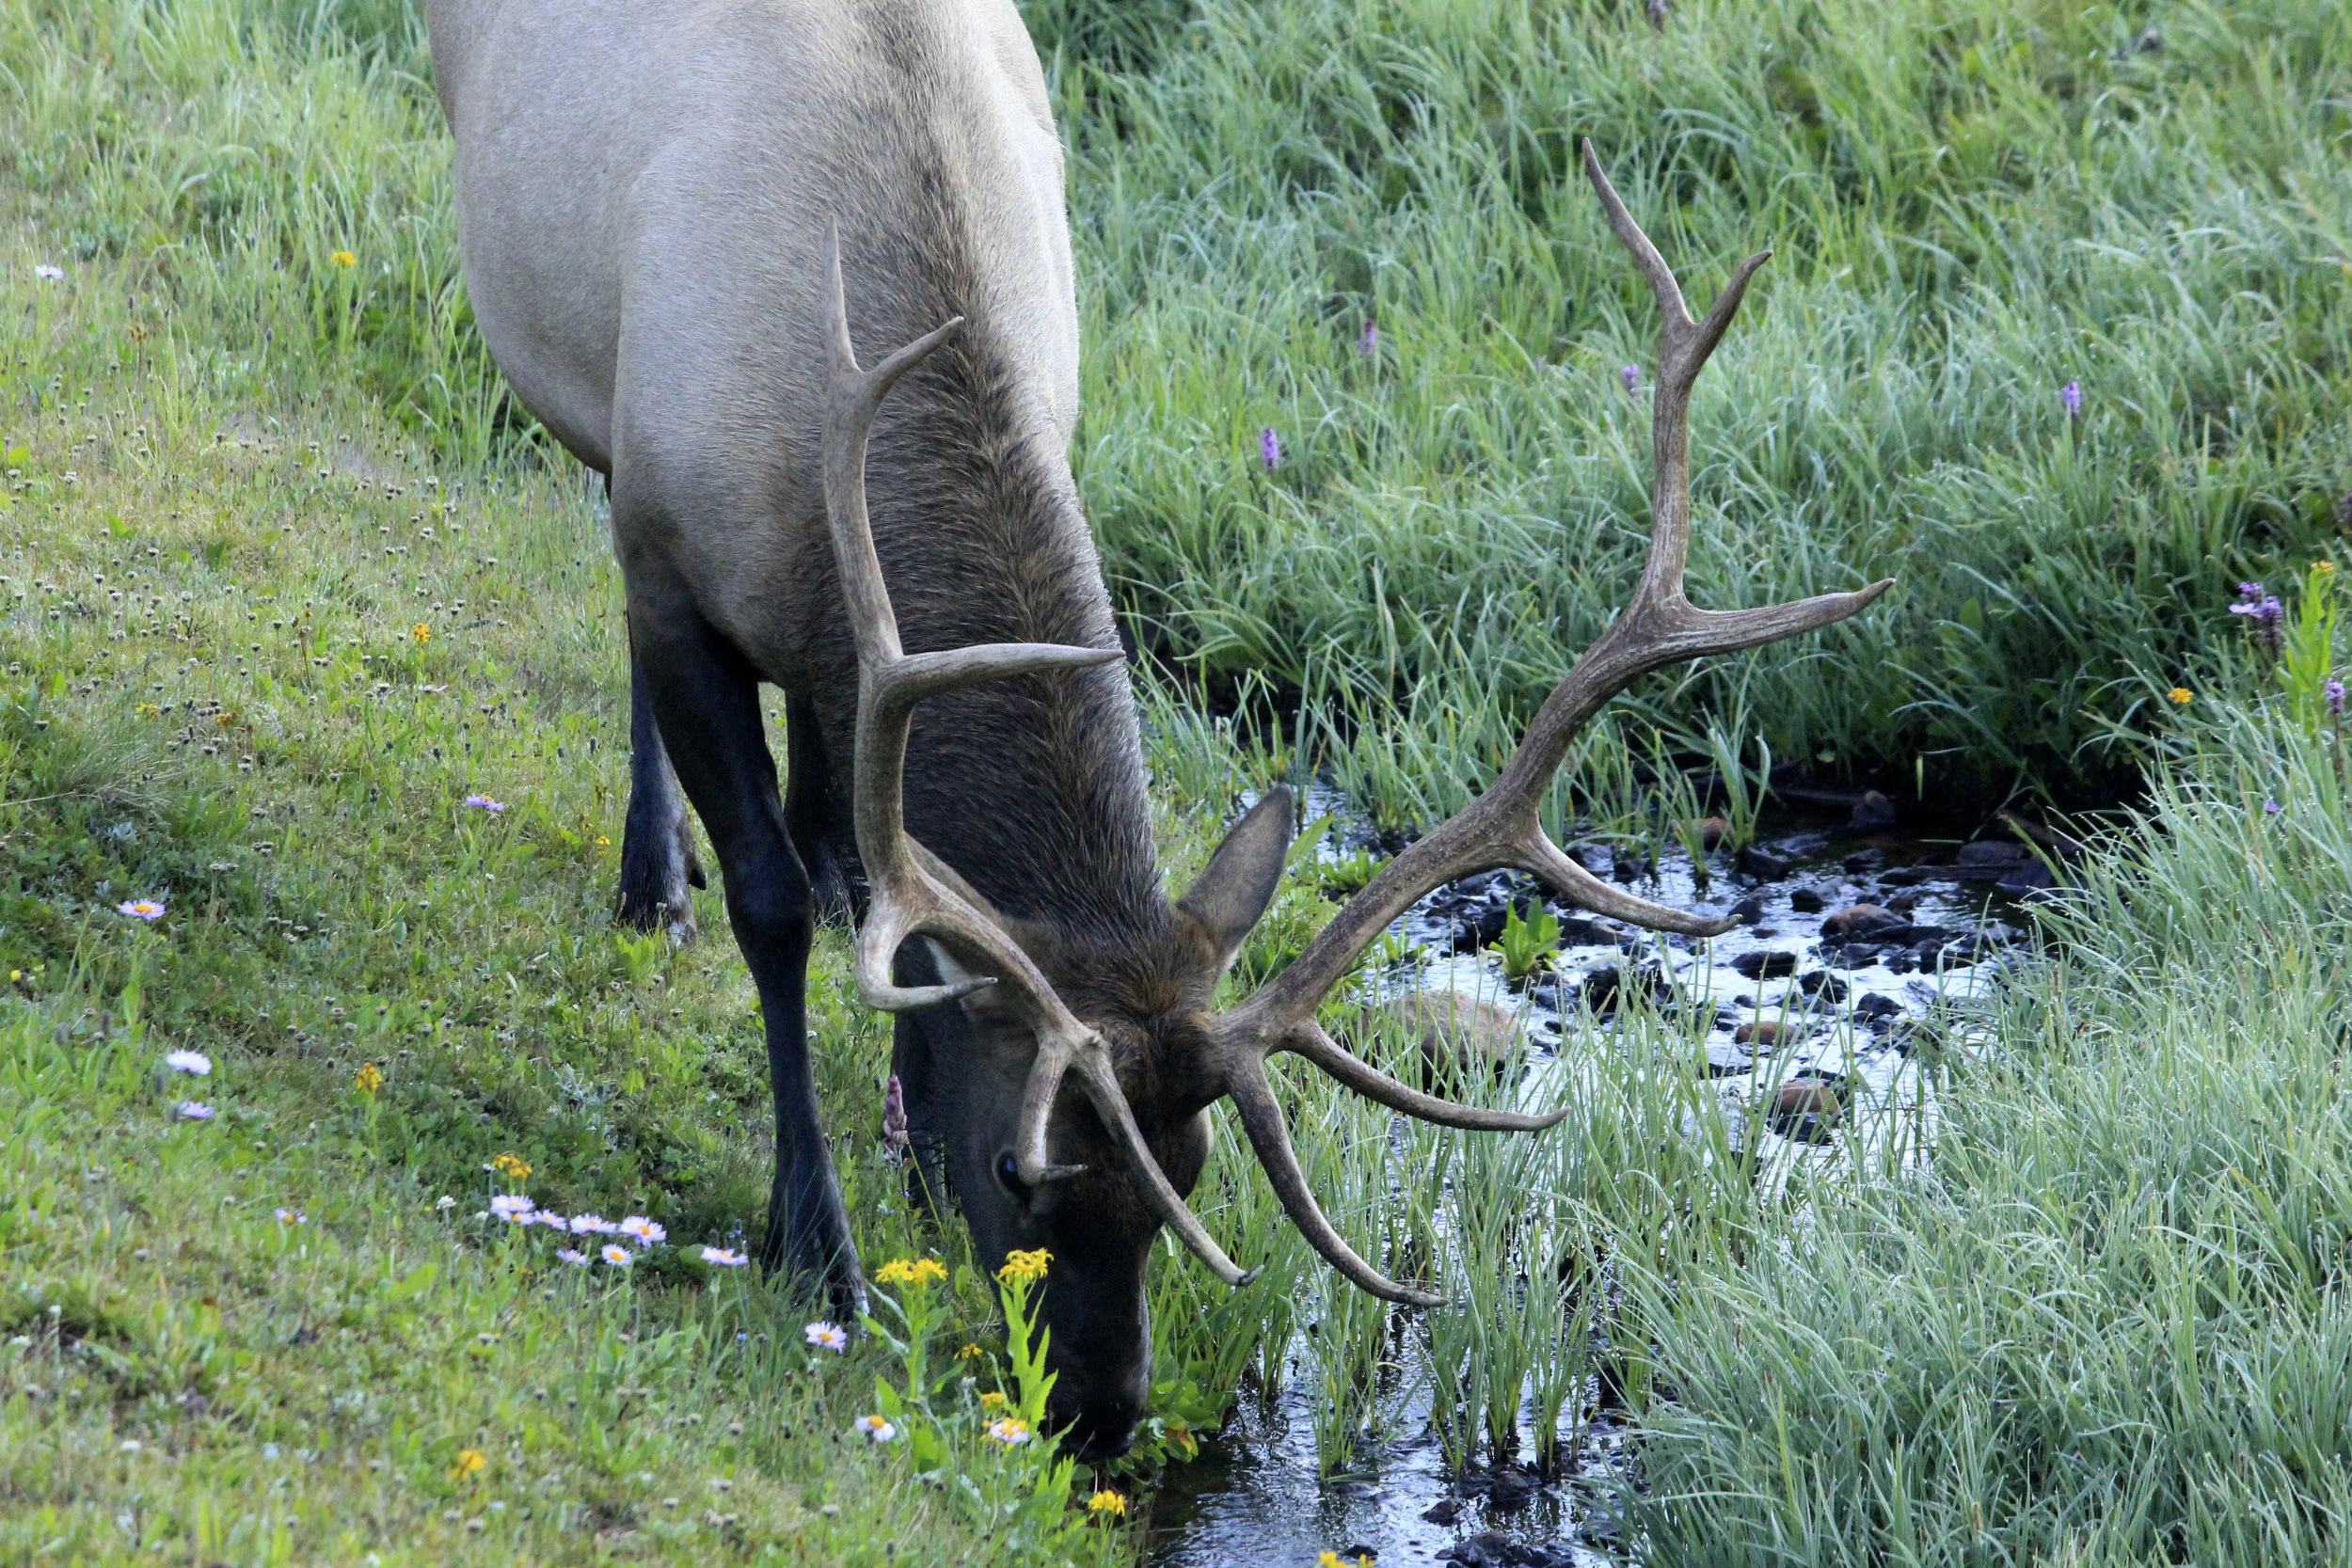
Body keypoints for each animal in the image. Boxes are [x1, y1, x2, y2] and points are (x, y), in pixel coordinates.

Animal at [428, 0, 1891, 1457]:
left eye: (1188, 1166)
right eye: (1023, 1165)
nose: (1099, 1409)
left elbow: (912, 923)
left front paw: (905, 1163)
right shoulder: (673, 547)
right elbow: (774, 912)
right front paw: (817, 1243)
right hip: (584, 394)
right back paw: (653, 878)